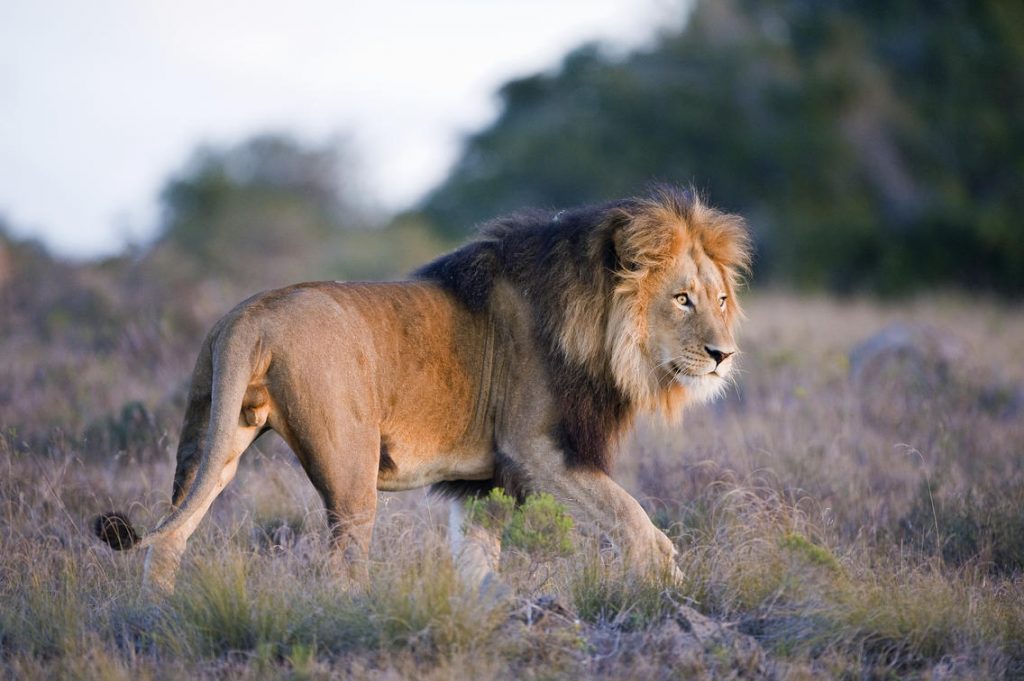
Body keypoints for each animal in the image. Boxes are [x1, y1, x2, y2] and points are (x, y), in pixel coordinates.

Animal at [94, 187, 751, 594]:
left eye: (720, 299)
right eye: (682, 299)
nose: (723, 356)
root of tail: (249, 314)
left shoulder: (485, 482)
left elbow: (479, 563)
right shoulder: (537, 448)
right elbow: (638, 524)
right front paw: (667, 594)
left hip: (217, 437)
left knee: (169, 536)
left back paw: (155, 615)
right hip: (351, 467)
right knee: (342, 566)